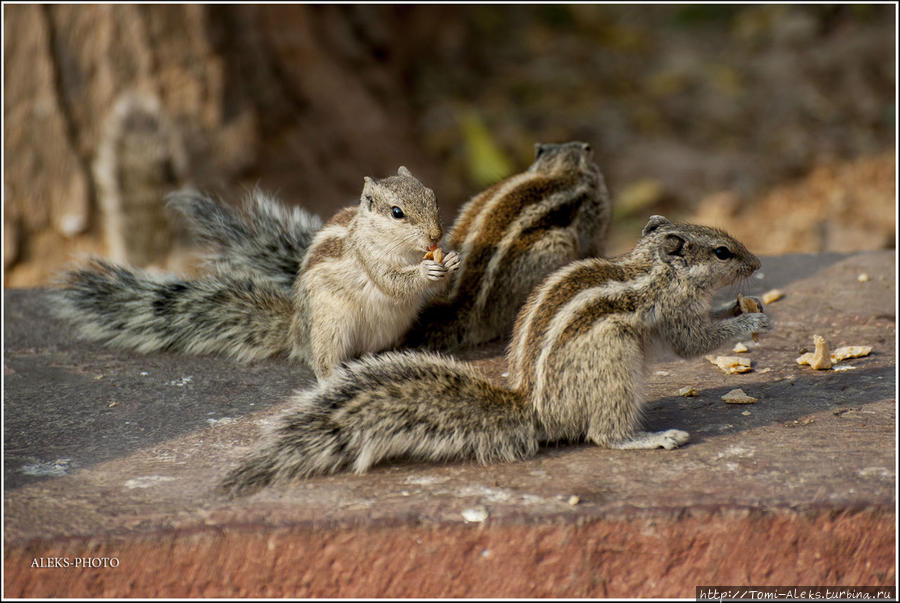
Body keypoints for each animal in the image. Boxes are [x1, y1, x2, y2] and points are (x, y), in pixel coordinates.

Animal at [51, 168, 458, 380]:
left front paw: (451, 258)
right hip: (330, 326)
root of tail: (295, 330)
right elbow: (392, 280)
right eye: (396, 212)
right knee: (322, 362)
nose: (436, 236)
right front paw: (427, 269)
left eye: (433, 197)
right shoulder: (367, 257)